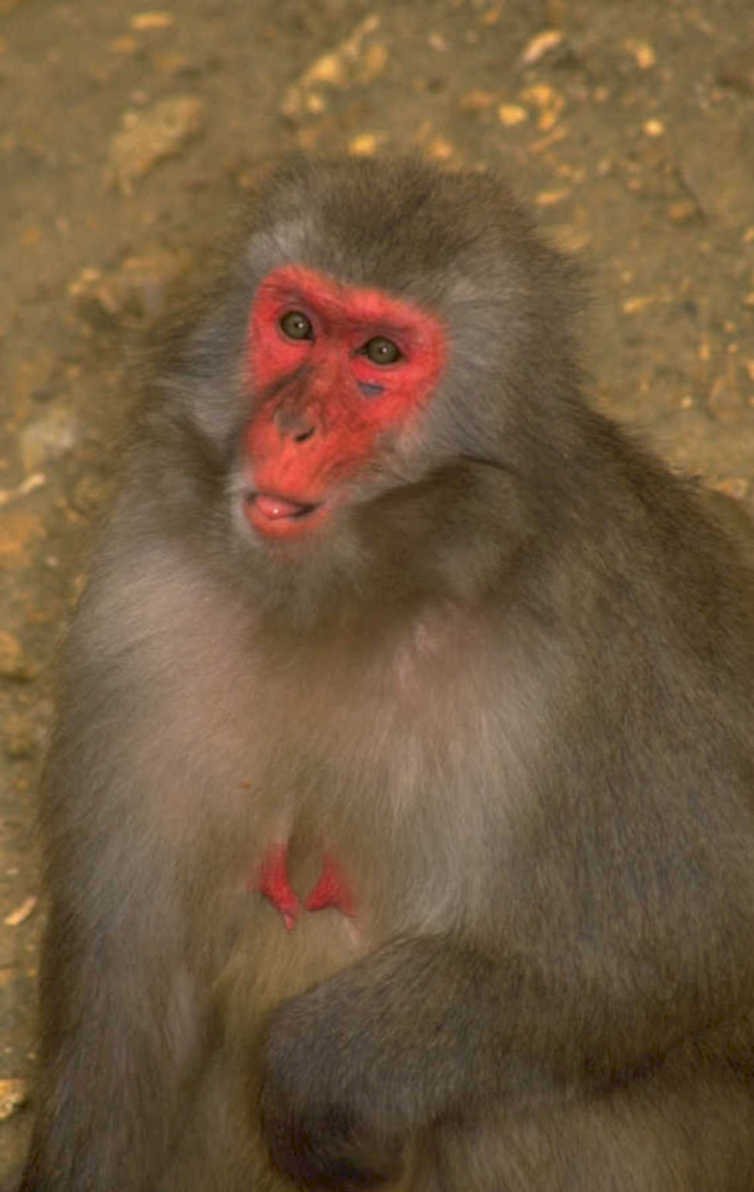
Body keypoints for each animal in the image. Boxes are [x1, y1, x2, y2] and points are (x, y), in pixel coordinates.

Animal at [17, 156, 754, 1192]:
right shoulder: (140, 612)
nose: (291, 422)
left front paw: (321, 1078)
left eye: (380, 354)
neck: (352, 601)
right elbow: (127, 1008)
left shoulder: (602, 638)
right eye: (295, 327)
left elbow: (704, 919)